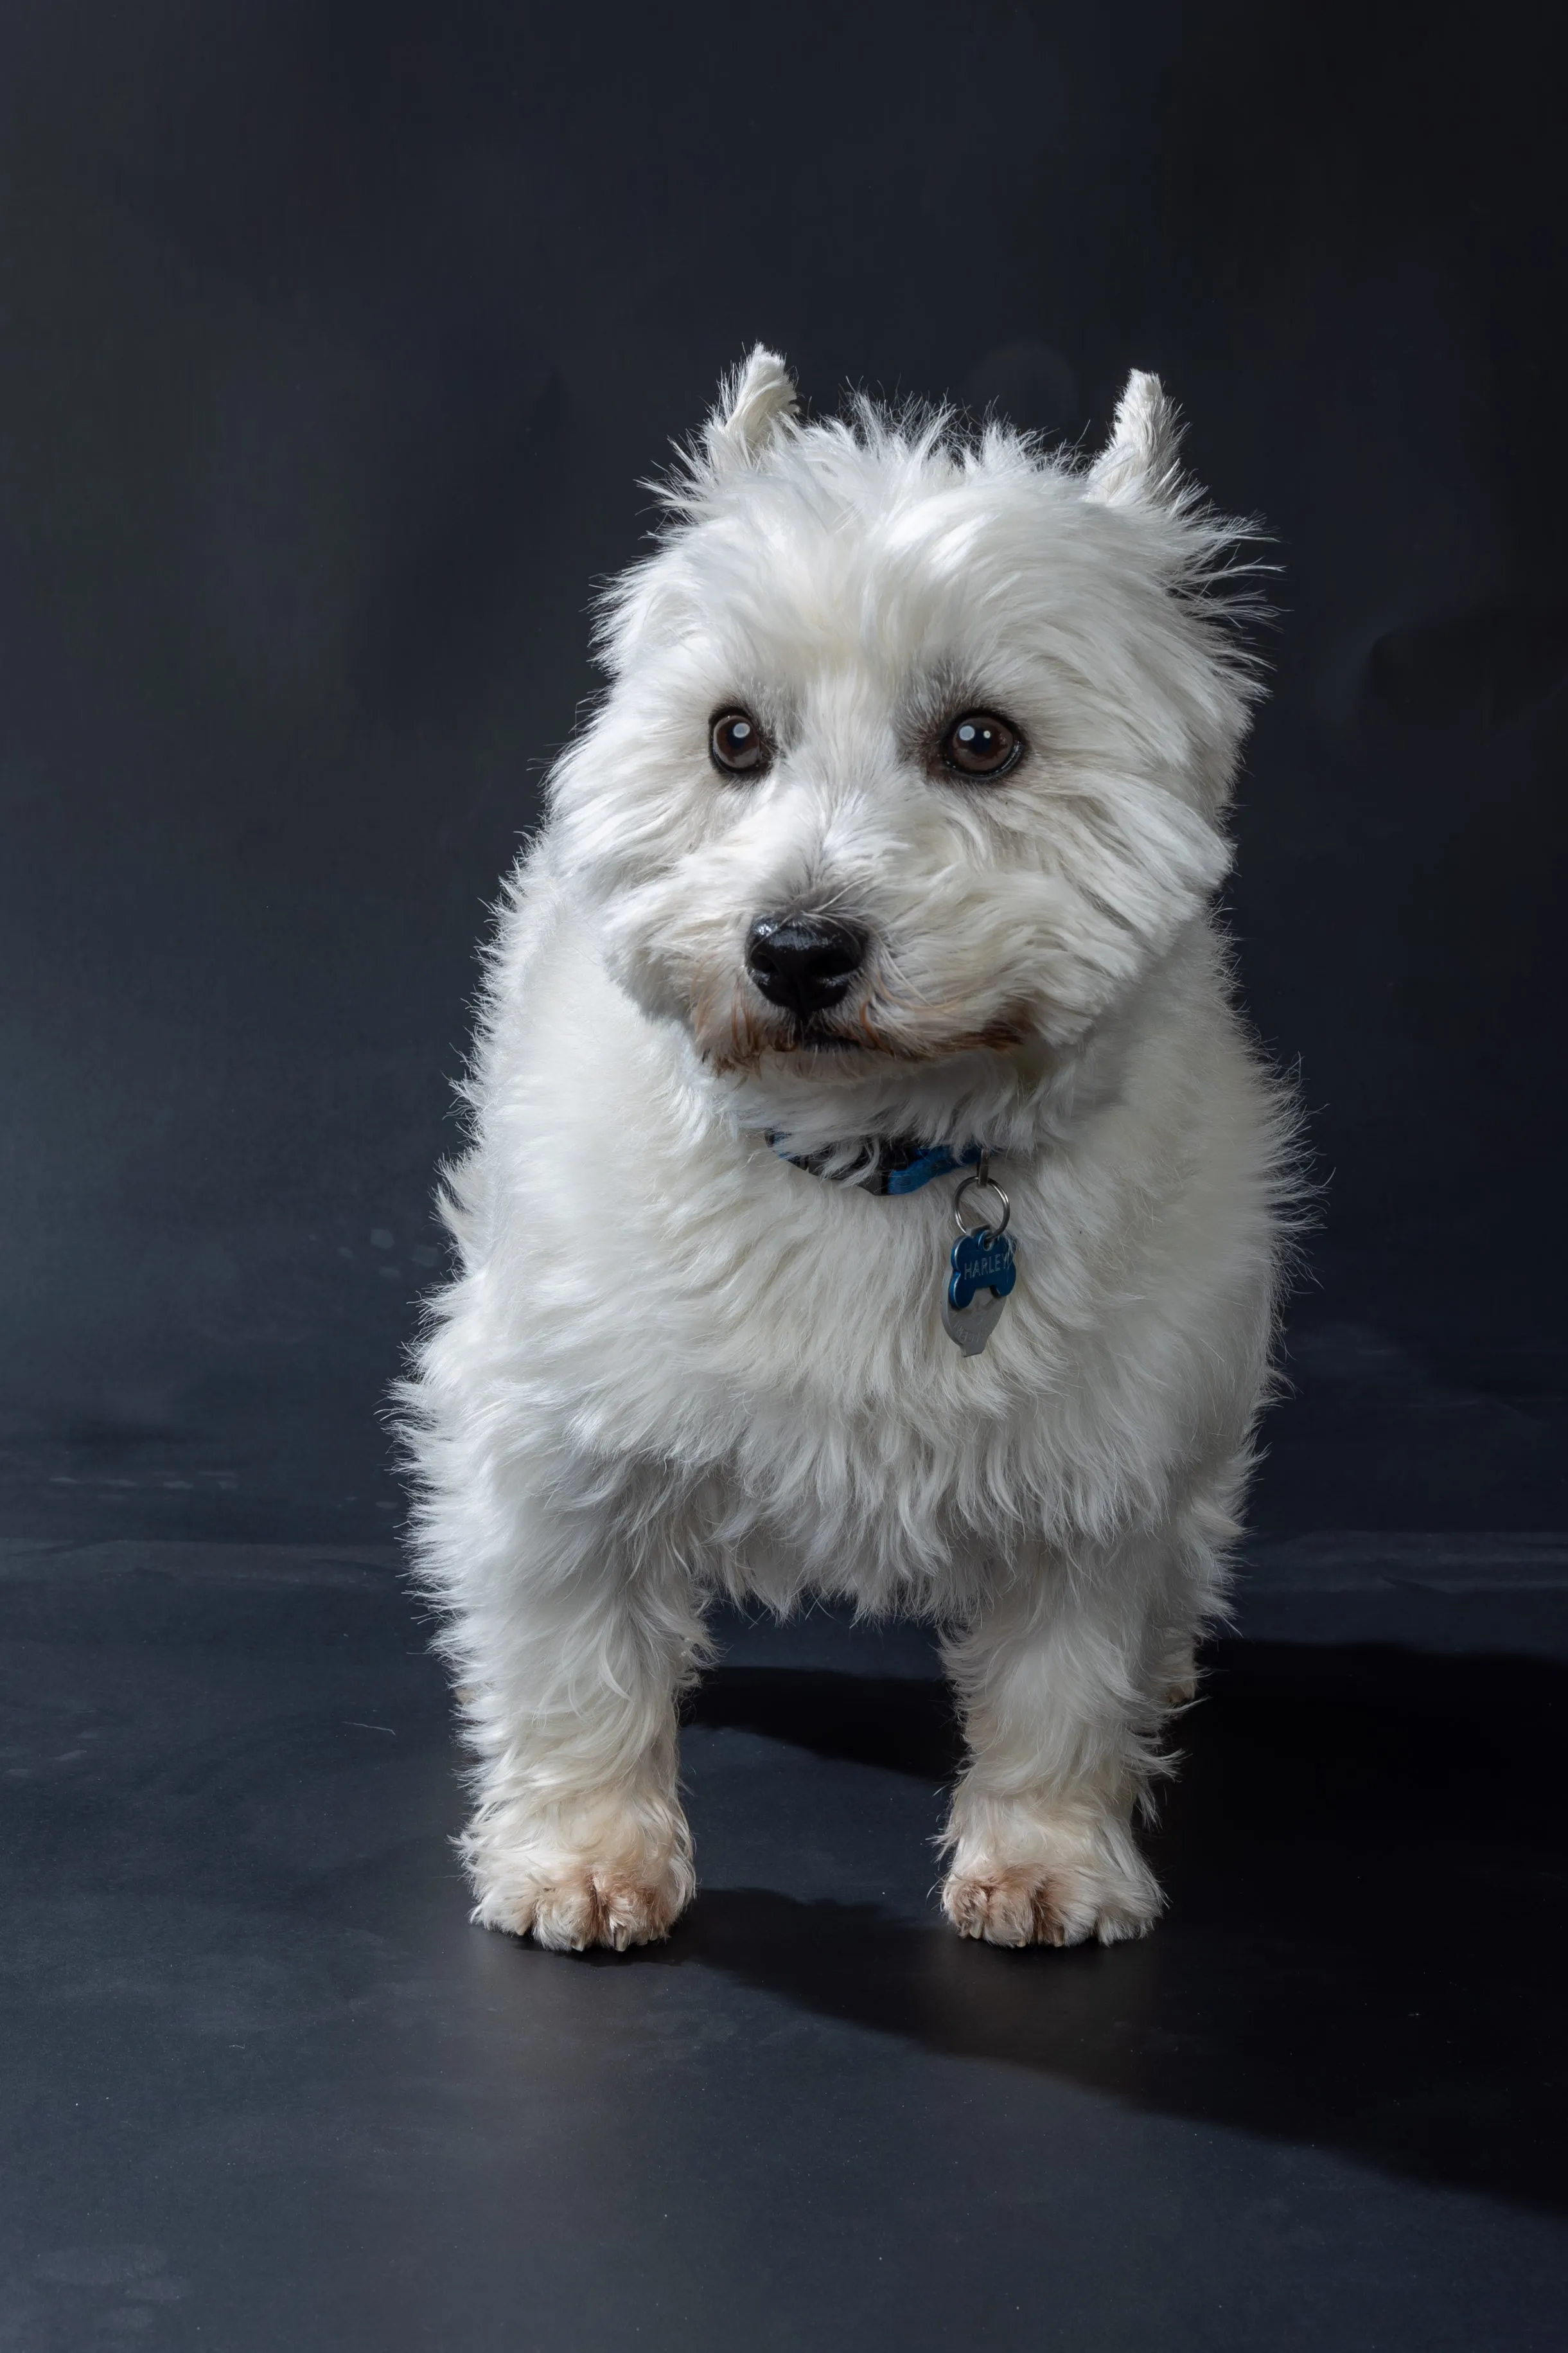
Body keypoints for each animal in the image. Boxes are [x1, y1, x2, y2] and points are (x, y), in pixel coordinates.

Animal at [400, 348, 1298, 1957]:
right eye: (731, 736)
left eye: (981, 740)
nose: (794, 950)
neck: (874, 1150)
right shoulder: (549, 1418)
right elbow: (571, 1646)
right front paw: (582, 1856)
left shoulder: (1104, 1457)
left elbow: (1064, 1677)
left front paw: (1046, 1860)